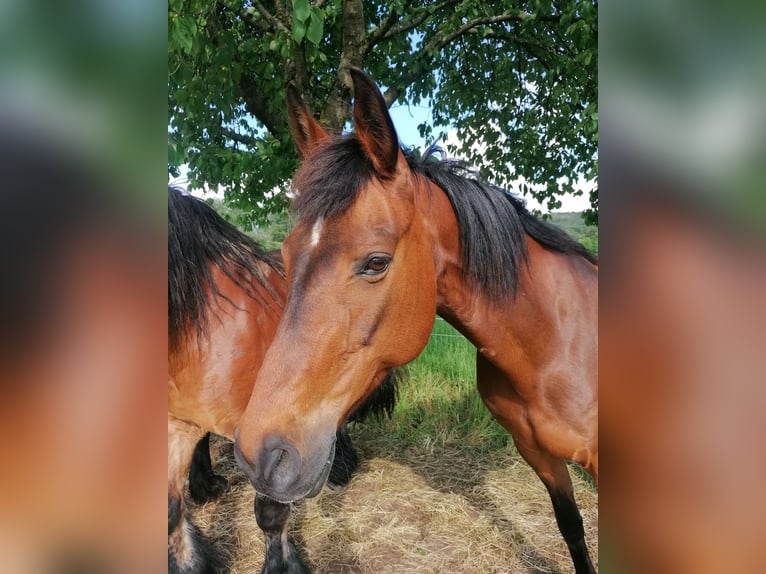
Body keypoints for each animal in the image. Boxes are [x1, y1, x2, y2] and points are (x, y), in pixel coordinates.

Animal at [234, 70, 600, 572]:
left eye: (375, 262)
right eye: (286, 258)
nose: (261, 456)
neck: (556, 346)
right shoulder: (540, 455)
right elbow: (572, 530)